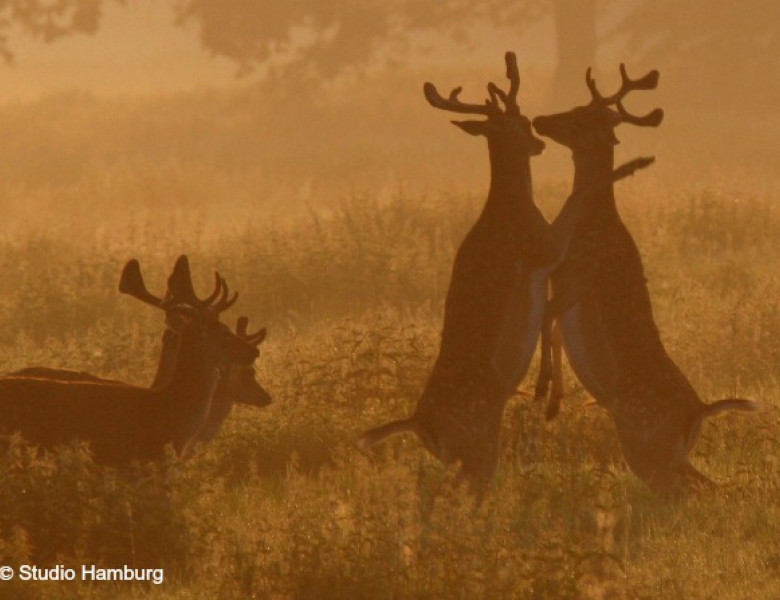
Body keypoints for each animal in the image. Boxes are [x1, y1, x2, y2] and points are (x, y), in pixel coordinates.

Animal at [532, 65, 760, 494]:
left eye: (579, 118)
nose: (539, 119)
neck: (588, 223)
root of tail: (698, 412)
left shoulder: (575, 280)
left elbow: (546, 319)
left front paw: (540, 390)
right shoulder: (563, 288)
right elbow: (554, 331)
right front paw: (553, 403)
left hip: (647, 445)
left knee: (681, 492)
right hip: (667, 454)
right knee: (705, 484)